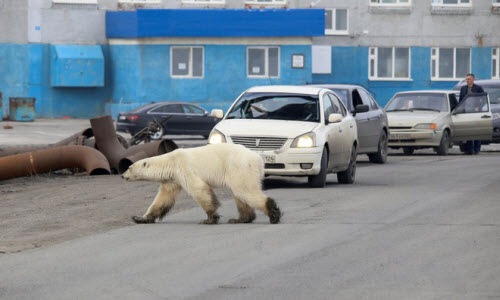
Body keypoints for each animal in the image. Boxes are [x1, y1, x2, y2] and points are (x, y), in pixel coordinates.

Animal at [121, 144, 282, 224]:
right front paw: (140, 218)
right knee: (240, 195)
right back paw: (240, 219)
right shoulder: (172, 179)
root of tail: (258, 159)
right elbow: (163, 198)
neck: (170, 162)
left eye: (129, 167)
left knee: (244, 191)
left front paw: (210, 219)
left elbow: (199, 189)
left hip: (239, 167)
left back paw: (273, 214)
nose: (122, 175)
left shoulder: (184, 168)